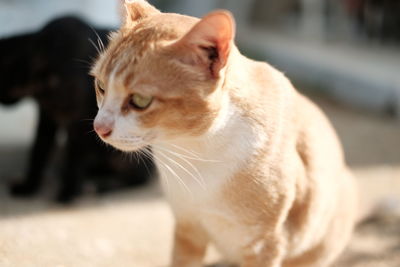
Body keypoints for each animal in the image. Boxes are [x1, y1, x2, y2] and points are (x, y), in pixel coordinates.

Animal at [0, 16, 154, 203]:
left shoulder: (79, 122)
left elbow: (73, 160)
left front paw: (68, 193)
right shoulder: (46, 118)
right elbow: (38, 152)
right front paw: (29, 187)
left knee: (138, 178)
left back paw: (99, 186)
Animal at [92, 1, 358, 266]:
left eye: (140, 100)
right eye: (101, 87)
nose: (99, 127)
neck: (196, 152)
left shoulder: (264, 245)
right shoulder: (187, 227)